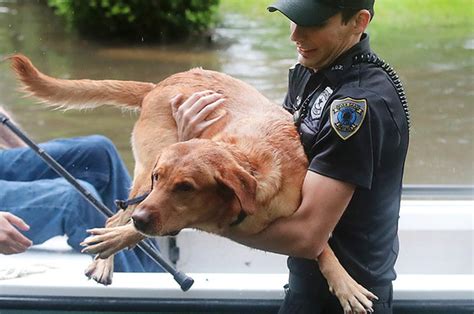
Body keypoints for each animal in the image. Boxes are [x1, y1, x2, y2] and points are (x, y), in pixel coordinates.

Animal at [8, 55, 374, 312]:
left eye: (185, 187)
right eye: (160, 178)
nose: (141, 219)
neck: (251, 166)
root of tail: (157, 85)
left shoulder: (307, 221)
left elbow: (323, 248)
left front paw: (345, 284)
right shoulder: (152, 198)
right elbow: (133, 226)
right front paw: (116, 241)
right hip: (143, 170)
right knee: (116, 216)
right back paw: (106, 257)